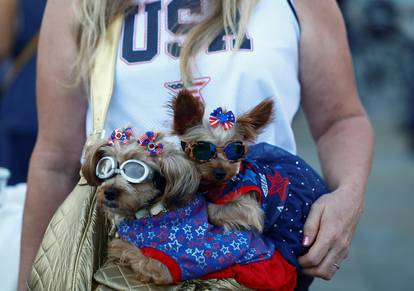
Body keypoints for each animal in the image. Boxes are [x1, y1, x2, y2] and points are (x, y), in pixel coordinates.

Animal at [81, 129, 199, 284]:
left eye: (136, 172)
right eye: (105, 167)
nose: (109, 192)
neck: (151, 210)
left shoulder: (164, 266)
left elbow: (127, 249)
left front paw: (116, 244)